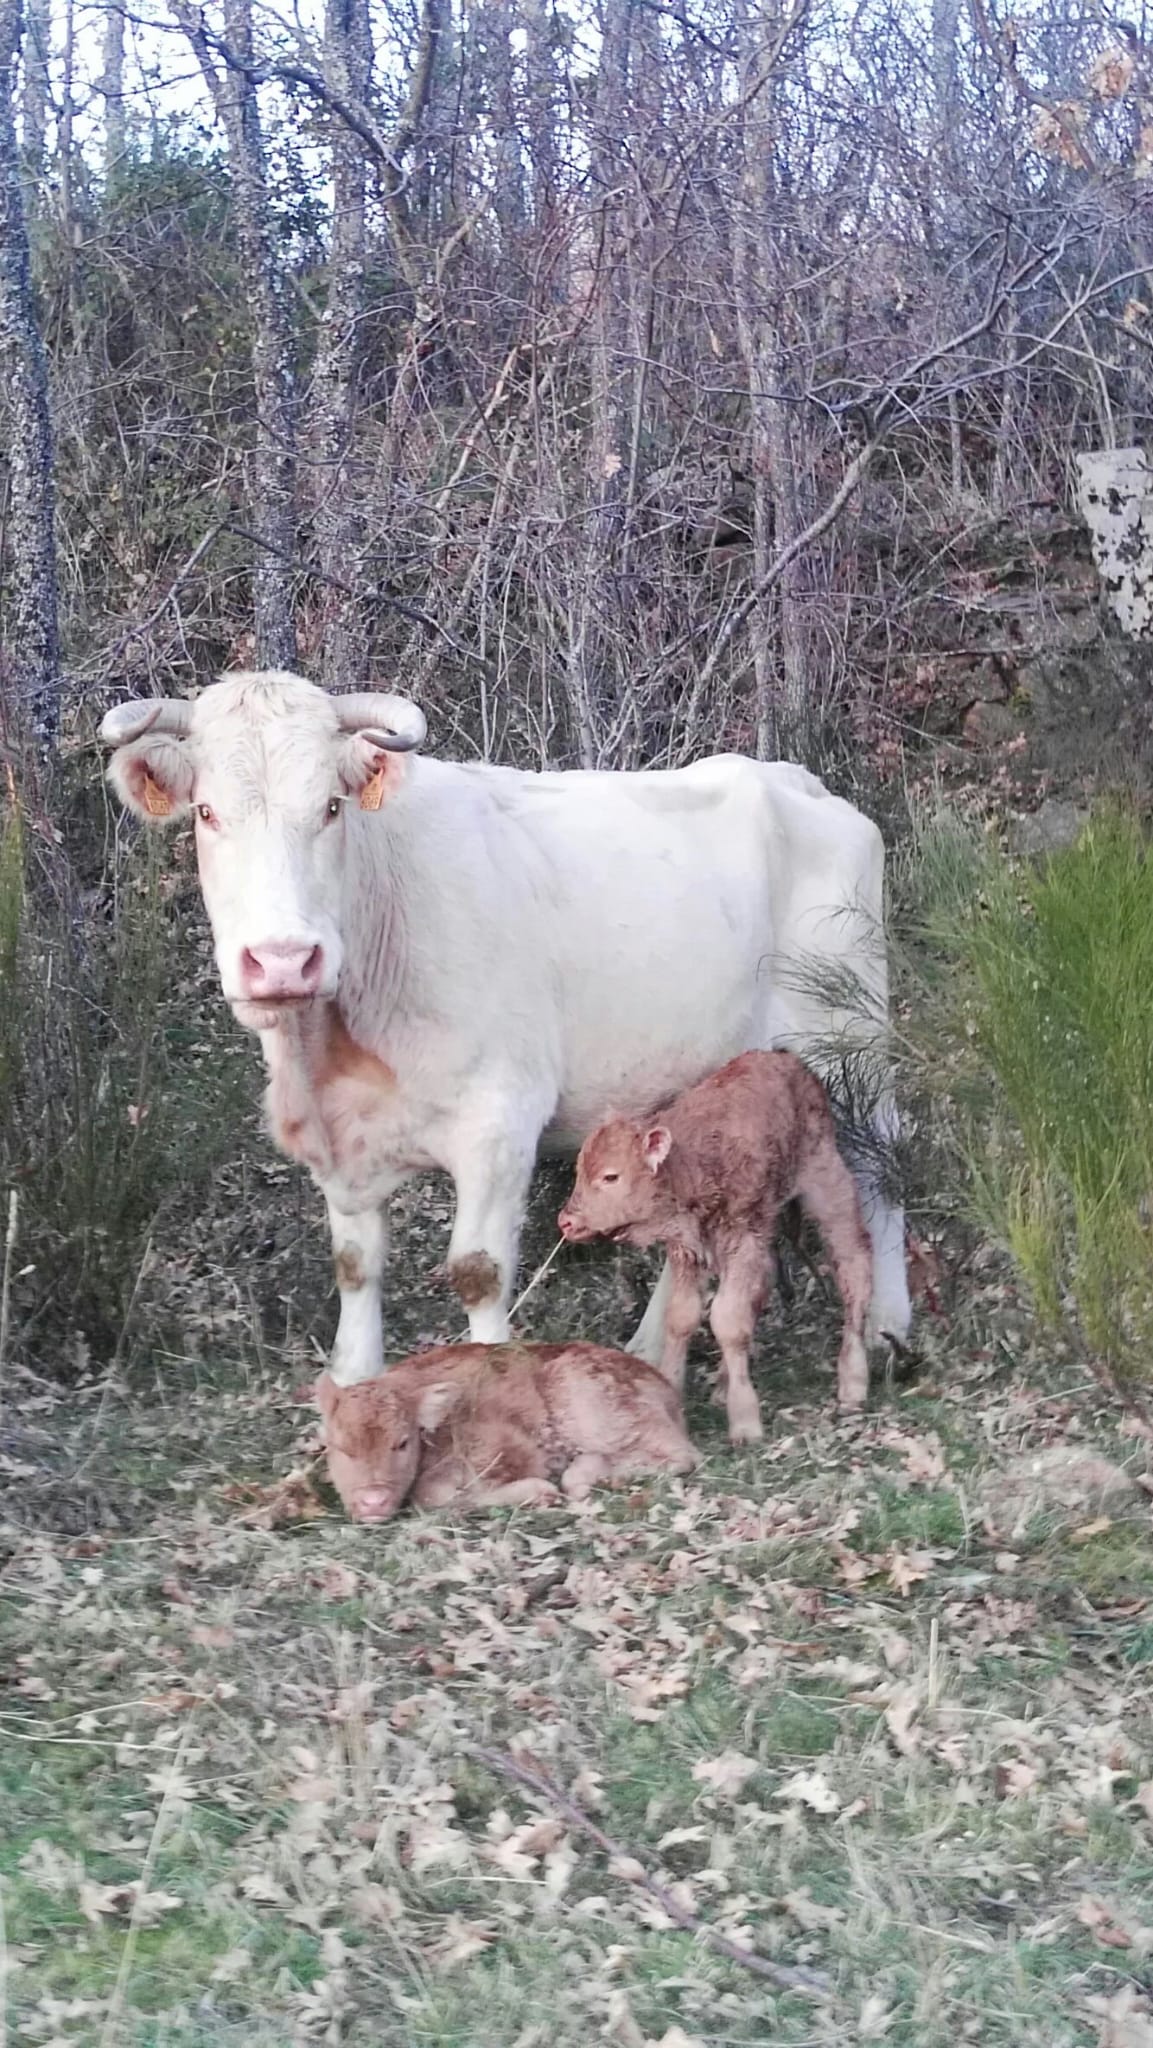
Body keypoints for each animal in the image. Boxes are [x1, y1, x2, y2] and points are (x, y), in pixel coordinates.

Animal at [100, 670, 911, 1384]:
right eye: (208, 814)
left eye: (330, 808)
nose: (283, 960)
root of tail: (801, 783)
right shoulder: (344, 1141)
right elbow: (355, 1266)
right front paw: (353, 1382)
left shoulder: (499, 1119)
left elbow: (477, 1273)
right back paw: (651, 1350)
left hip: (852, 1038)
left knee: (881, 1165)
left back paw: (888, 1328)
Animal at [315, 1341, 701, 1520]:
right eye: (340, 1446)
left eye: (402, 1443)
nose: (373, 1501)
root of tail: (664, 1386)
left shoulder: (507, 1448)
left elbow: (432, 1495)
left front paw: (540, 1492)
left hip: (589, 1406)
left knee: (681, 1455)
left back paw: (581, 1475)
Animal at [557, 1050, 873, 1441]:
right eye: (580, 1170)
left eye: (611, 1176)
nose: (567, 1222)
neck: (690, 1162)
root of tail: (791, 1063)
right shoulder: (687, 1250)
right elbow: (682, 1316)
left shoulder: (743, 1238)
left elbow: (728, 1319)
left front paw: (746, 1423)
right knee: (765, 1285)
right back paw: (724, 1383)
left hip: (828, 1188)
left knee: (853, 1265)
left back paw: (853, 1383)